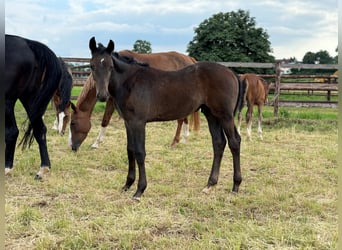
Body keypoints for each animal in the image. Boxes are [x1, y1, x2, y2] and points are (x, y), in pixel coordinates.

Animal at [4, 34, 72, 179]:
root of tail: (28, 43)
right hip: (30, 99)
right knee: (40, 129)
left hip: (8, 100)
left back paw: (7, 168)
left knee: (12, 131)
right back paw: (44, 168)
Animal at [69, 49, 200, 150]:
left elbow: (105, 119)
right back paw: (183, 139)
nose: (72, 146)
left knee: (181, 119)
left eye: (73, 123)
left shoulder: (111, 100)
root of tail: (190, 59)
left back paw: (175, 141)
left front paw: (96, 143)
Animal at [87, 37, 243, 200]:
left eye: (110, 66)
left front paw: (139, 190)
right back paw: (210, 185)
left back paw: (235, 185)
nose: (102, 95)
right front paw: (127, 184)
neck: (131, 82)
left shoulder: (138, 122)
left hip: (225, 116)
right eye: (92, 66)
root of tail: (232, 73)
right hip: (212, 115)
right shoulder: (128, 122)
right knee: (218, 143)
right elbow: (130, 150)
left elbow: (140, 152)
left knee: (234, 142)